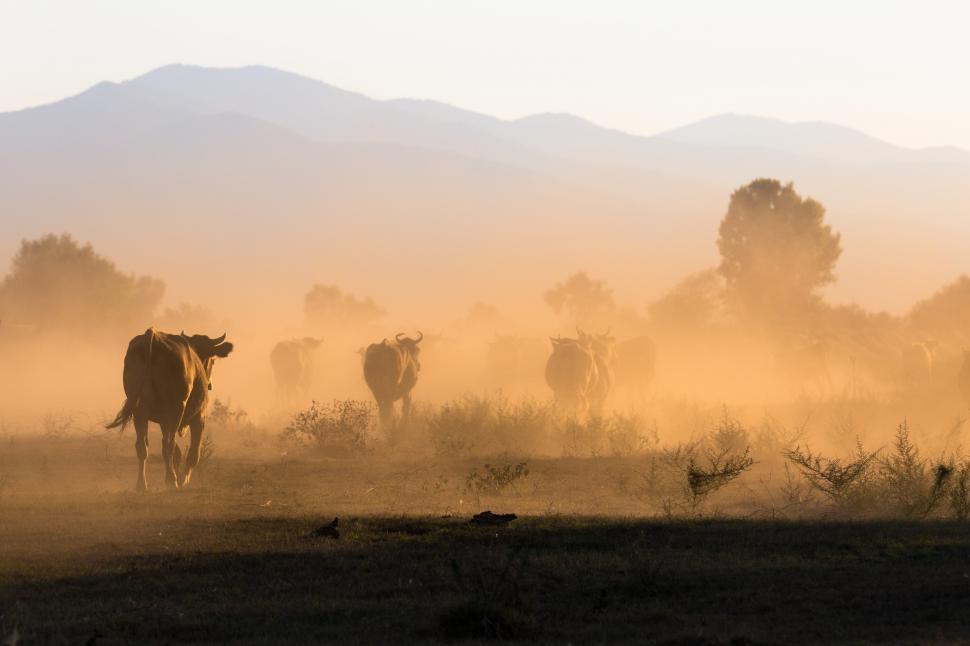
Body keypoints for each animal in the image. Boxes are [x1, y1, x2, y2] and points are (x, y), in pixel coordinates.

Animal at [106, 328, 234, 491]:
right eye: (212, 359)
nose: (210, 383)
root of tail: (153, 335)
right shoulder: (199, 417)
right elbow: (193, 453)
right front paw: (183, 479)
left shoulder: (163, 421)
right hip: (176, 409)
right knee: (168, 444)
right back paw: (171, 481)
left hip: (139, 410)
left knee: (143, 446)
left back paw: (142, 484)